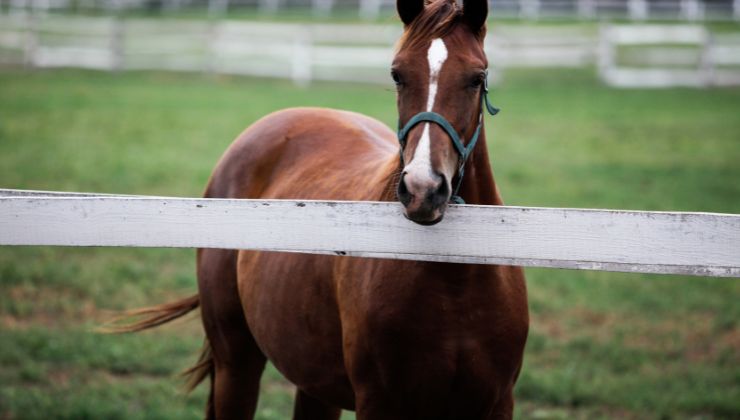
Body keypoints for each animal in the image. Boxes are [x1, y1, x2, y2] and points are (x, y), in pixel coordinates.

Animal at [117, 1, 528, 418]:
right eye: (397, 75)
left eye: (477, 77)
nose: (422, 189)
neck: (455, 284)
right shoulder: (377, 402)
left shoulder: (498, 402)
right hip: (237, 363)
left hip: (315, 382)